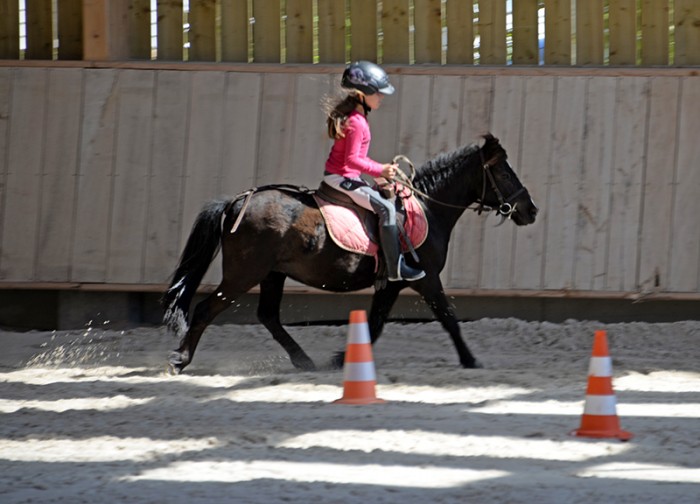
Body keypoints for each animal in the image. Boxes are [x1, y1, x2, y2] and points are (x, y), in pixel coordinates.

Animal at [163, 134, 536, 374]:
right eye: (504, 172)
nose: (530, 210)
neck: (427, 208)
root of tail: (238, 201)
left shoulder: (392, 283)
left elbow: (375, 324)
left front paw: (340, 360)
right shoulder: (427, 278)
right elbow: (447, 318)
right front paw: (471, 359)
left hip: (272, 274)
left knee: (268, 316)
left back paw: (305, 362)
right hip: (244, 274)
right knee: (206, 309)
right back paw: (180, 360)